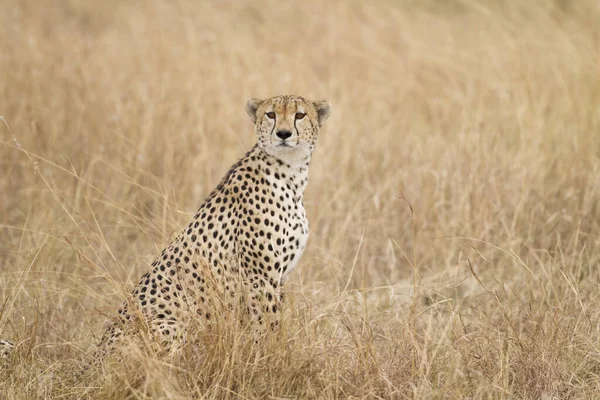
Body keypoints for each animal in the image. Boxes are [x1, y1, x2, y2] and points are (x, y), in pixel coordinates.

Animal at [98, 95, 332, 358]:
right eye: (271, 114)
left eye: (300, 115)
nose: (283, 134)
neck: (290, 173)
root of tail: (92, 361)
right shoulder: (259, 278)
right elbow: (268, 326)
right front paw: (271, 357)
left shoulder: (277, 278)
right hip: (172, 324)